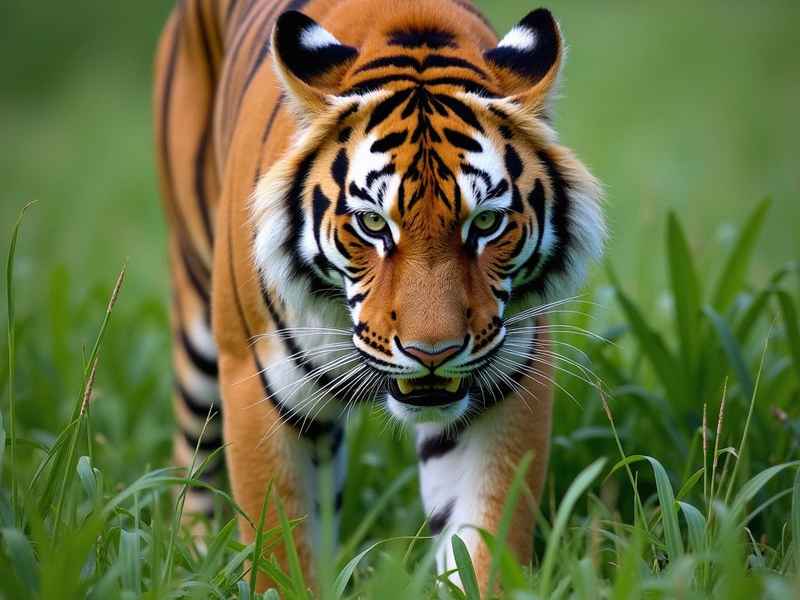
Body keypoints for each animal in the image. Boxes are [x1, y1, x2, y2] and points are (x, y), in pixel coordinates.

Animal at [154, 0, 604, 592]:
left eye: (486, 223)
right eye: (372, 224)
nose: (432, 354)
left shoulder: (504, 387)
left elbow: (483, 540)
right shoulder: (258, 383)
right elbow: (279, 551)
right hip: (201, 331)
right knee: (193, 460)